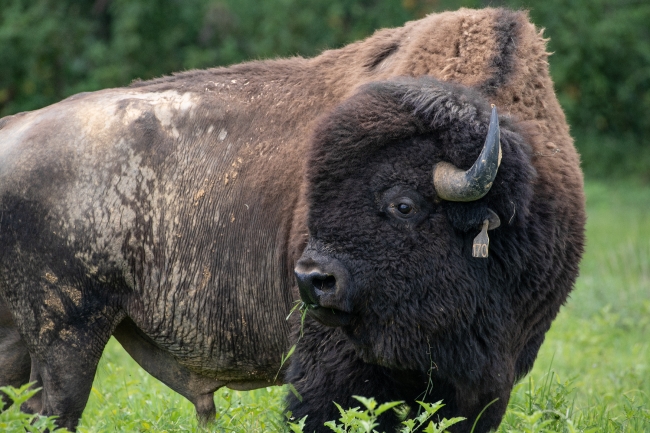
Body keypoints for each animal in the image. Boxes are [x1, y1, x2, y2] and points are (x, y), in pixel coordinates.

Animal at [0, 7, 584, 432]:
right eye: (314, 198)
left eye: (403, 204)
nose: (310, 280)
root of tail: (16, 130)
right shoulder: (339, 368)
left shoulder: (492, 377)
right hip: (69, 331)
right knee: (53, 411)